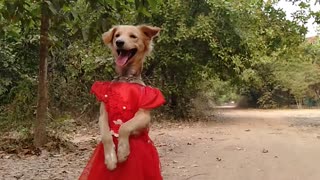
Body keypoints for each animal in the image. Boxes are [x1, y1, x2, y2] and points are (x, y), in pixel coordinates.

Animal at [99, 24, 161, 169]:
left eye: (133, 36)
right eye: (117, 35)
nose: (119, 42)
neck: (126, 78)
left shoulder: (144, 116)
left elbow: (124, 126)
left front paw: (122, 151)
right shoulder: (102, 114)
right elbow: (106, 135)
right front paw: (110, 159)